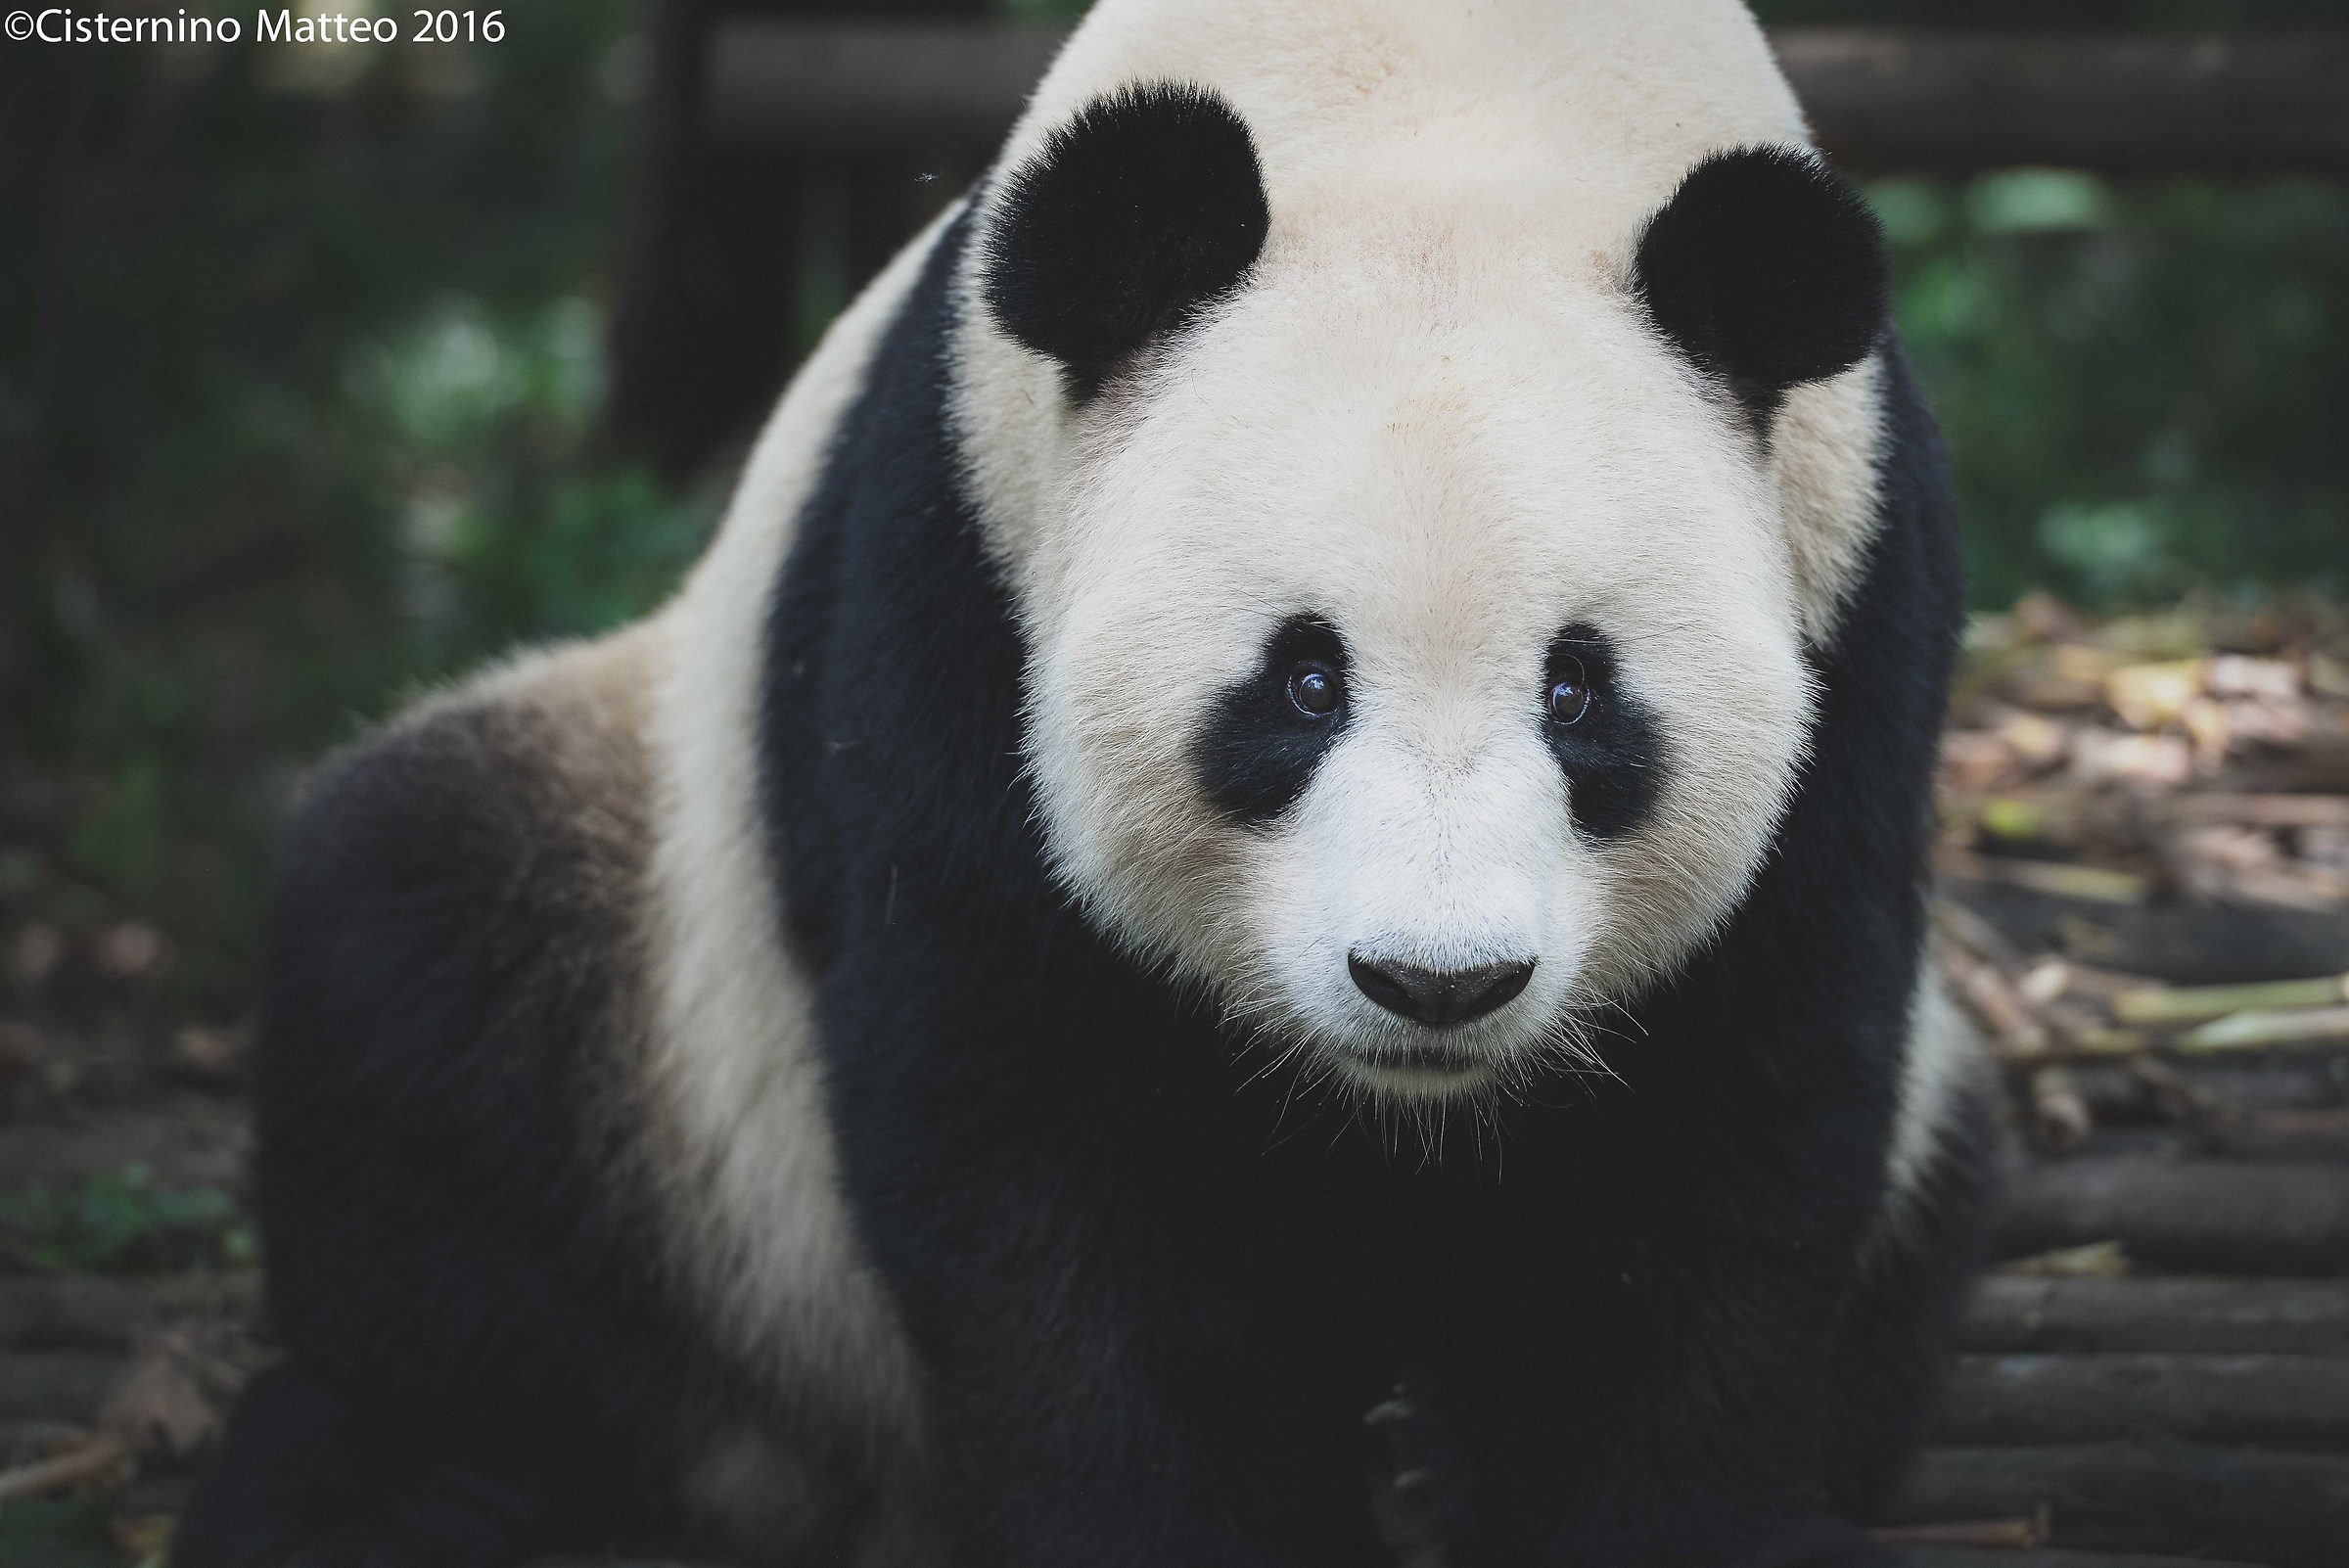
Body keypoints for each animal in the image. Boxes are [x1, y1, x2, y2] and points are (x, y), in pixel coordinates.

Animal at [176, 1, 1996, 1564]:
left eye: (1579, 692)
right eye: (1303, 682)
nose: (1435, 982)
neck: (1446, 101)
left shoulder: (1862, 602)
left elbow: (1729, 1122)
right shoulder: (956, 568)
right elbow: (1027, 1119)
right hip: (663, 1002)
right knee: (418, 994)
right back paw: (384, 1479)